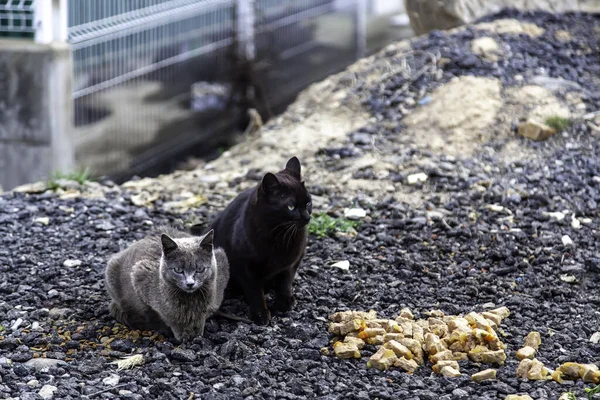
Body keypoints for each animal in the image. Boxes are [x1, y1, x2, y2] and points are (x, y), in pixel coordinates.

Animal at [209, 156, 312, 324]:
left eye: (308, 203)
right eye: (291, 207)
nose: (307, 217)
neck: (279, 236)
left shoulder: (292, 262)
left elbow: (285, 283)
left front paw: (284, 304)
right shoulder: (246, 269)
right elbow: (255, 292)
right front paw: (260, 315)